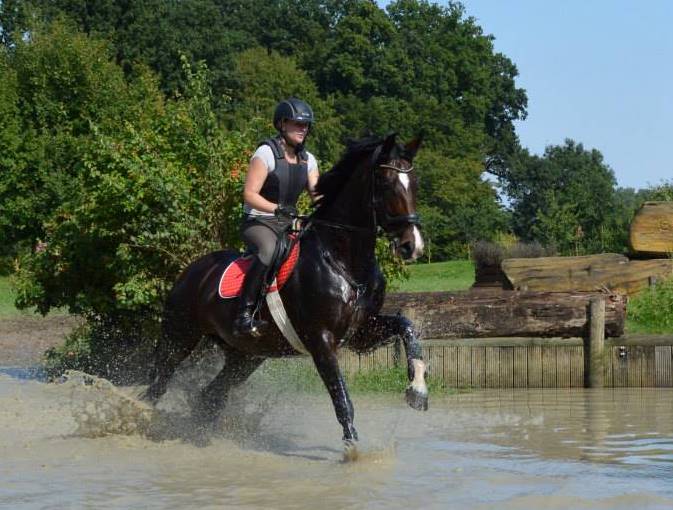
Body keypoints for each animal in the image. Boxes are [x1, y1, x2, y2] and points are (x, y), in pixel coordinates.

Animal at [142, 132, 428, 446]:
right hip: (179, 337)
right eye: (387, 183)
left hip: (246, 356)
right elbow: (342, 399)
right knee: (158, 385)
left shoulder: (360, 333)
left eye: (414, 184)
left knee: (210, 395)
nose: (412, 246)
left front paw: (417, 390)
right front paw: (353, 448)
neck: (342, 260)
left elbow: (406, 326)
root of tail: (192, 271)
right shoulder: (321, 339)